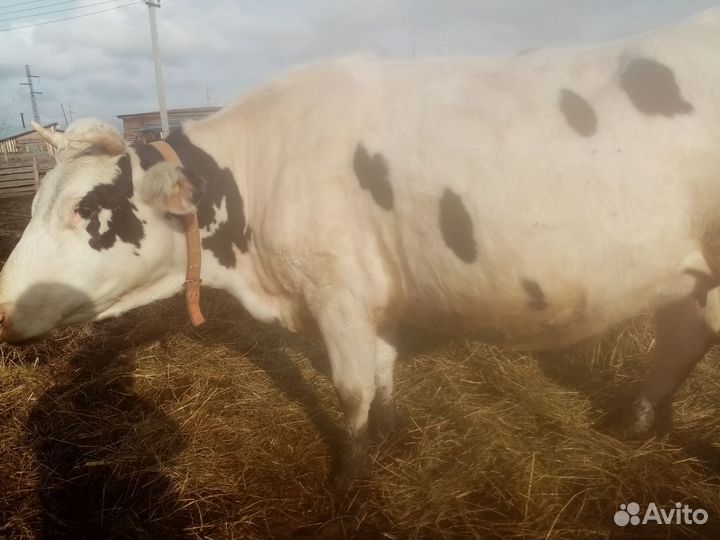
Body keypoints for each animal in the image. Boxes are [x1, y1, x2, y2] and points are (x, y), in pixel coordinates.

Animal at [2, 8, 720, 487]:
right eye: (35, 205)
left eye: (86, 207)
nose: (5, 306)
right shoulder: (375, 291)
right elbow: (383, 369)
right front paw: (392, 434)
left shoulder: (337, 293)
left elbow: (350, 389)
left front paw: (350, 479)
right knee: (683, 334)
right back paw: (634, 423)